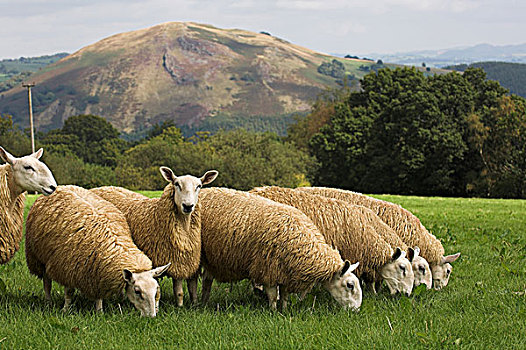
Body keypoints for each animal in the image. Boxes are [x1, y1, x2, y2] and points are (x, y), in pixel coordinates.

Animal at [25, 186, 171, 318]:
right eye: (137, 291)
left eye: (156, 290)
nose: (152, 317)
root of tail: (60, 187)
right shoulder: (67, 267)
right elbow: (69, 292)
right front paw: (66, 309)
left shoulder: (96, 271)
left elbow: (98, 294)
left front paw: (99, 311)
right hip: (37, 257)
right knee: (46, 282)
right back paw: (48, 302)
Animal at [93, 167, 219, 306]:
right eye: (176, 184)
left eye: (199, 186)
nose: (188, 206)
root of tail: (100, 187)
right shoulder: (172, 261)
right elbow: (179, 292)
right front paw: (179, 307)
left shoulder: (188, 261)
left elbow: (192, 288)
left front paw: (194, 305)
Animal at [198, 187, 364, 310]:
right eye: (350, 285)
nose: (356, 310)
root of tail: (205, 190)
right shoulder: (268, 270)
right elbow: (272, 296)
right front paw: (272, 312)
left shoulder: (285, 273)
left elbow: (284, 295)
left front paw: (284, 310)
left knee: (206, 280)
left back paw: (203, 302)